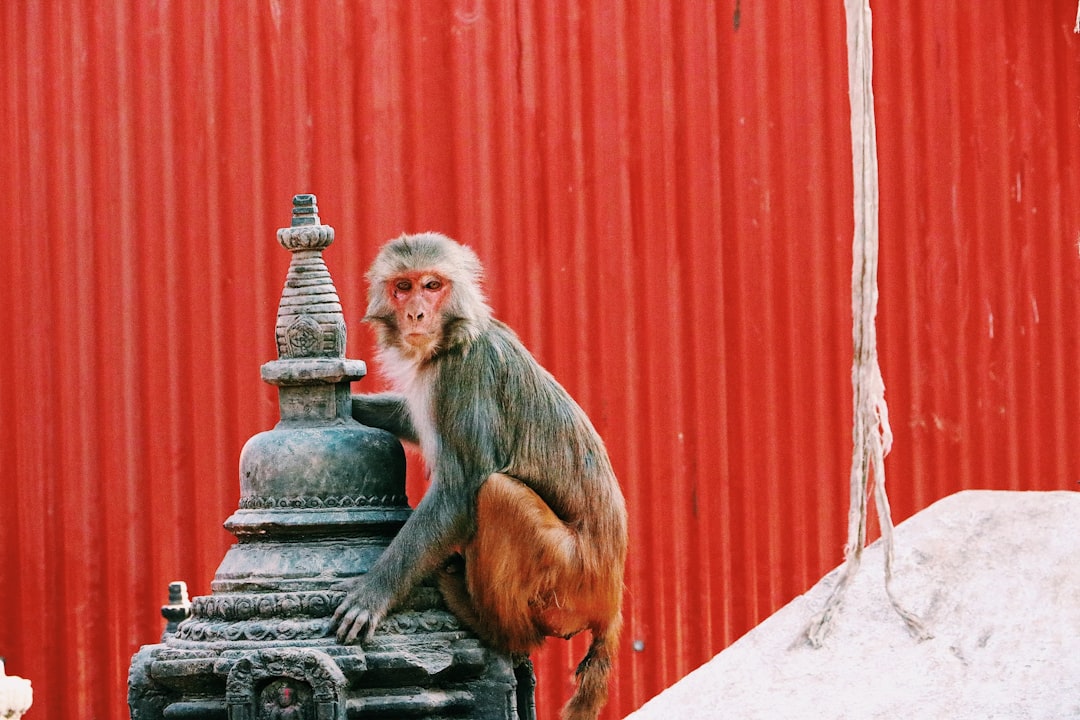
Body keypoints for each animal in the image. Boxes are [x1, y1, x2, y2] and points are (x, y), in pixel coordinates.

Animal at [331, 232, 628, 720]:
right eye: (403, 287)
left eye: (432, 286)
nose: (416, 313)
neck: (451, 341)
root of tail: (609, 601)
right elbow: (413, 419)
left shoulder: (464, 375)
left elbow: (462, 488)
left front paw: (375, 592)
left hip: (567, 581)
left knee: (497, 492)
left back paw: (493, 627)